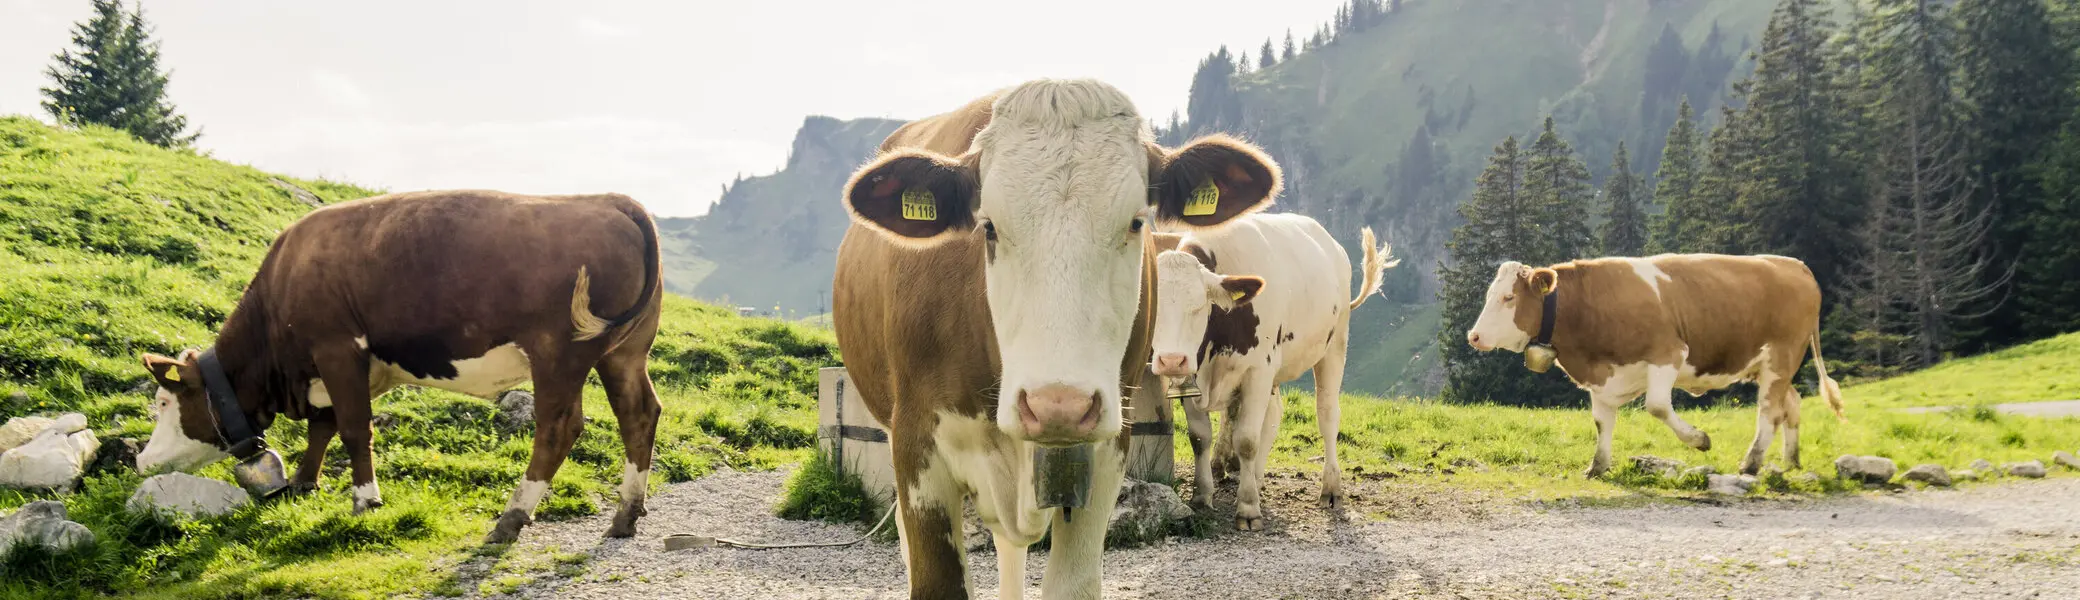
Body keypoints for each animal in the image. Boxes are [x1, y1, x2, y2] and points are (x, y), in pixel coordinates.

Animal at [135, 190, 664, 544]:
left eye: (162, 402)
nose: (141, 460)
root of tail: (610, 200)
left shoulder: (337, 348)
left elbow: (352, 428)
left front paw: (365, 500)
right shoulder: (338, 367)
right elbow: (323, 426)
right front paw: (304, 482)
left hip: (559, 352)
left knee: (558, 427)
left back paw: (510, 519)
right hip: (624, 352)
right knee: (639, 413)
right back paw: (626, 515)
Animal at [833, 79, 1281, 599]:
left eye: (1136, 222)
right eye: (988, 226)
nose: (1057, 405)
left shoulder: (1108, 449)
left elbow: (1072, 582)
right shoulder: (916, 446)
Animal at [1146, 214, 1394, 530]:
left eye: (1199, 306)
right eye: (1152, 306)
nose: (1171, 360)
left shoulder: (1257, 370)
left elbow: (1246, 440)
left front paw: (1248, 508)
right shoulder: (1194, 374)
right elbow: (1199, 437)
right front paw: (1202, 497)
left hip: (1334, 346)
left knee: (1327, 416)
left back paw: (1331, 489)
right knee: (1274, 414)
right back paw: (1257, 478)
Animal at [1463, 254, 1845, 477]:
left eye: (1508, 297)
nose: (1474, 336)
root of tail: (1794, 264)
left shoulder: (1668, 353)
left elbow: (1657, 406)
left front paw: (1700, 439)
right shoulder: (1602, 376)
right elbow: (1602, 422)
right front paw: (1597, 467)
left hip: (1782, 356)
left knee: (1768, 411)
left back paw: (1751, 463)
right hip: (1770, 366)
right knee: (1790, 404)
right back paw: (1791, 461)